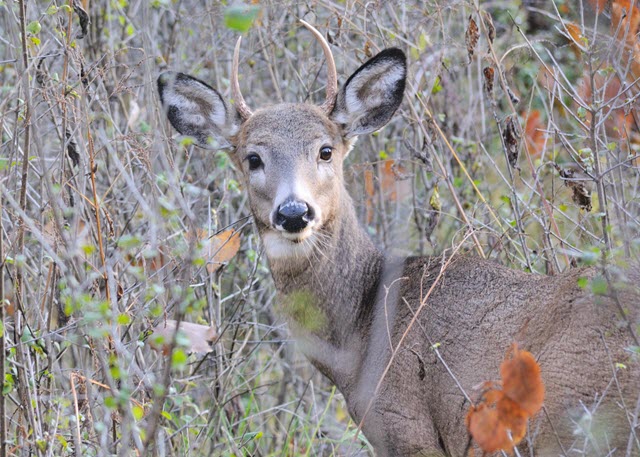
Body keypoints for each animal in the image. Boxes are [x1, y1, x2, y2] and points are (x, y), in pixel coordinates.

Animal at [156, 21, 640, 456]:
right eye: (252, 158)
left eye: (325, 150)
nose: (294, 212)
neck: (360, 331)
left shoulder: (407, 429)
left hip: (573, 421)